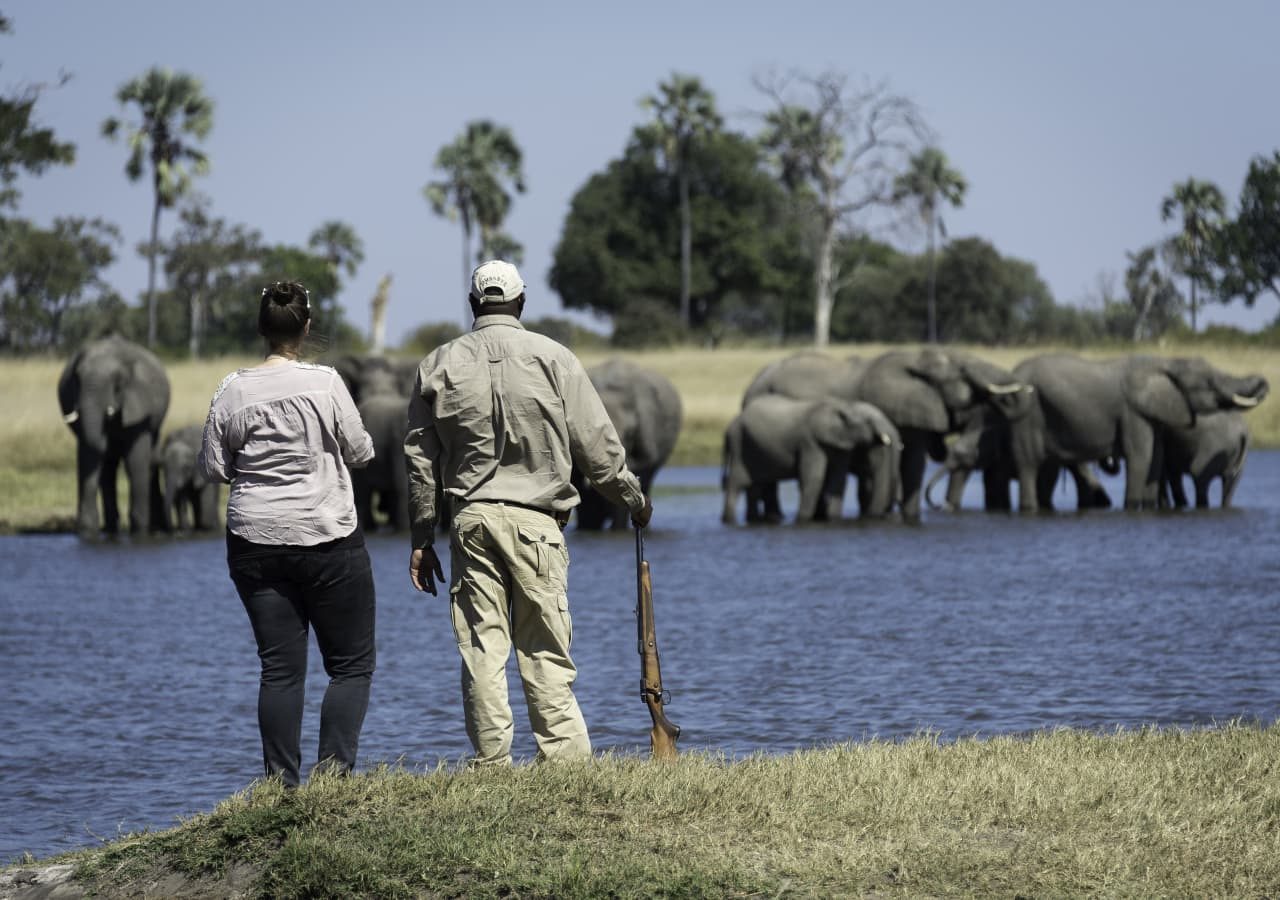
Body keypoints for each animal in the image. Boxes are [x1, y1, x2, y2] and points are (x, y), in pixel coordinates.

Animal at [56, 335, 170, 535]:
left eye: (118, 382)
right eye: (76, 378)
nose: (106, 439)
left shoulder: (139, 403)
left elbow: (135, 462)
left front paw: (139, 529)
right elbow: (88, 461)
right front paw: (87, 530)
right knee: (107, 471)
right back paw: (110, 527)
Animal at [721, 396, 901, 527]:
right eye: (869, 421)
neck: (842, 406)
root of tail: (730, 426)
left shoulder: (842, 443)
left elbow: (838, 480)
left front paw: (832, 519)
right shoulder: (809, 443)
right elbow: (814, 478)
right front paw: (803, 519)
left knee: (754, 487)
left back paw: (754, 520)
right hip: (739, 445)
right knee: (736, 484)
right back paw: (729, 520)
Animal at [1008, 358, 1269, 514]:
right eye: (1209, 383)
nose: (1264, 383)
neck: (1166, 365)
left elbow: (1155, 463)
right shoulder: (1135, 413)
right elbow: (1146, 460)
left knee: (1219, 482)